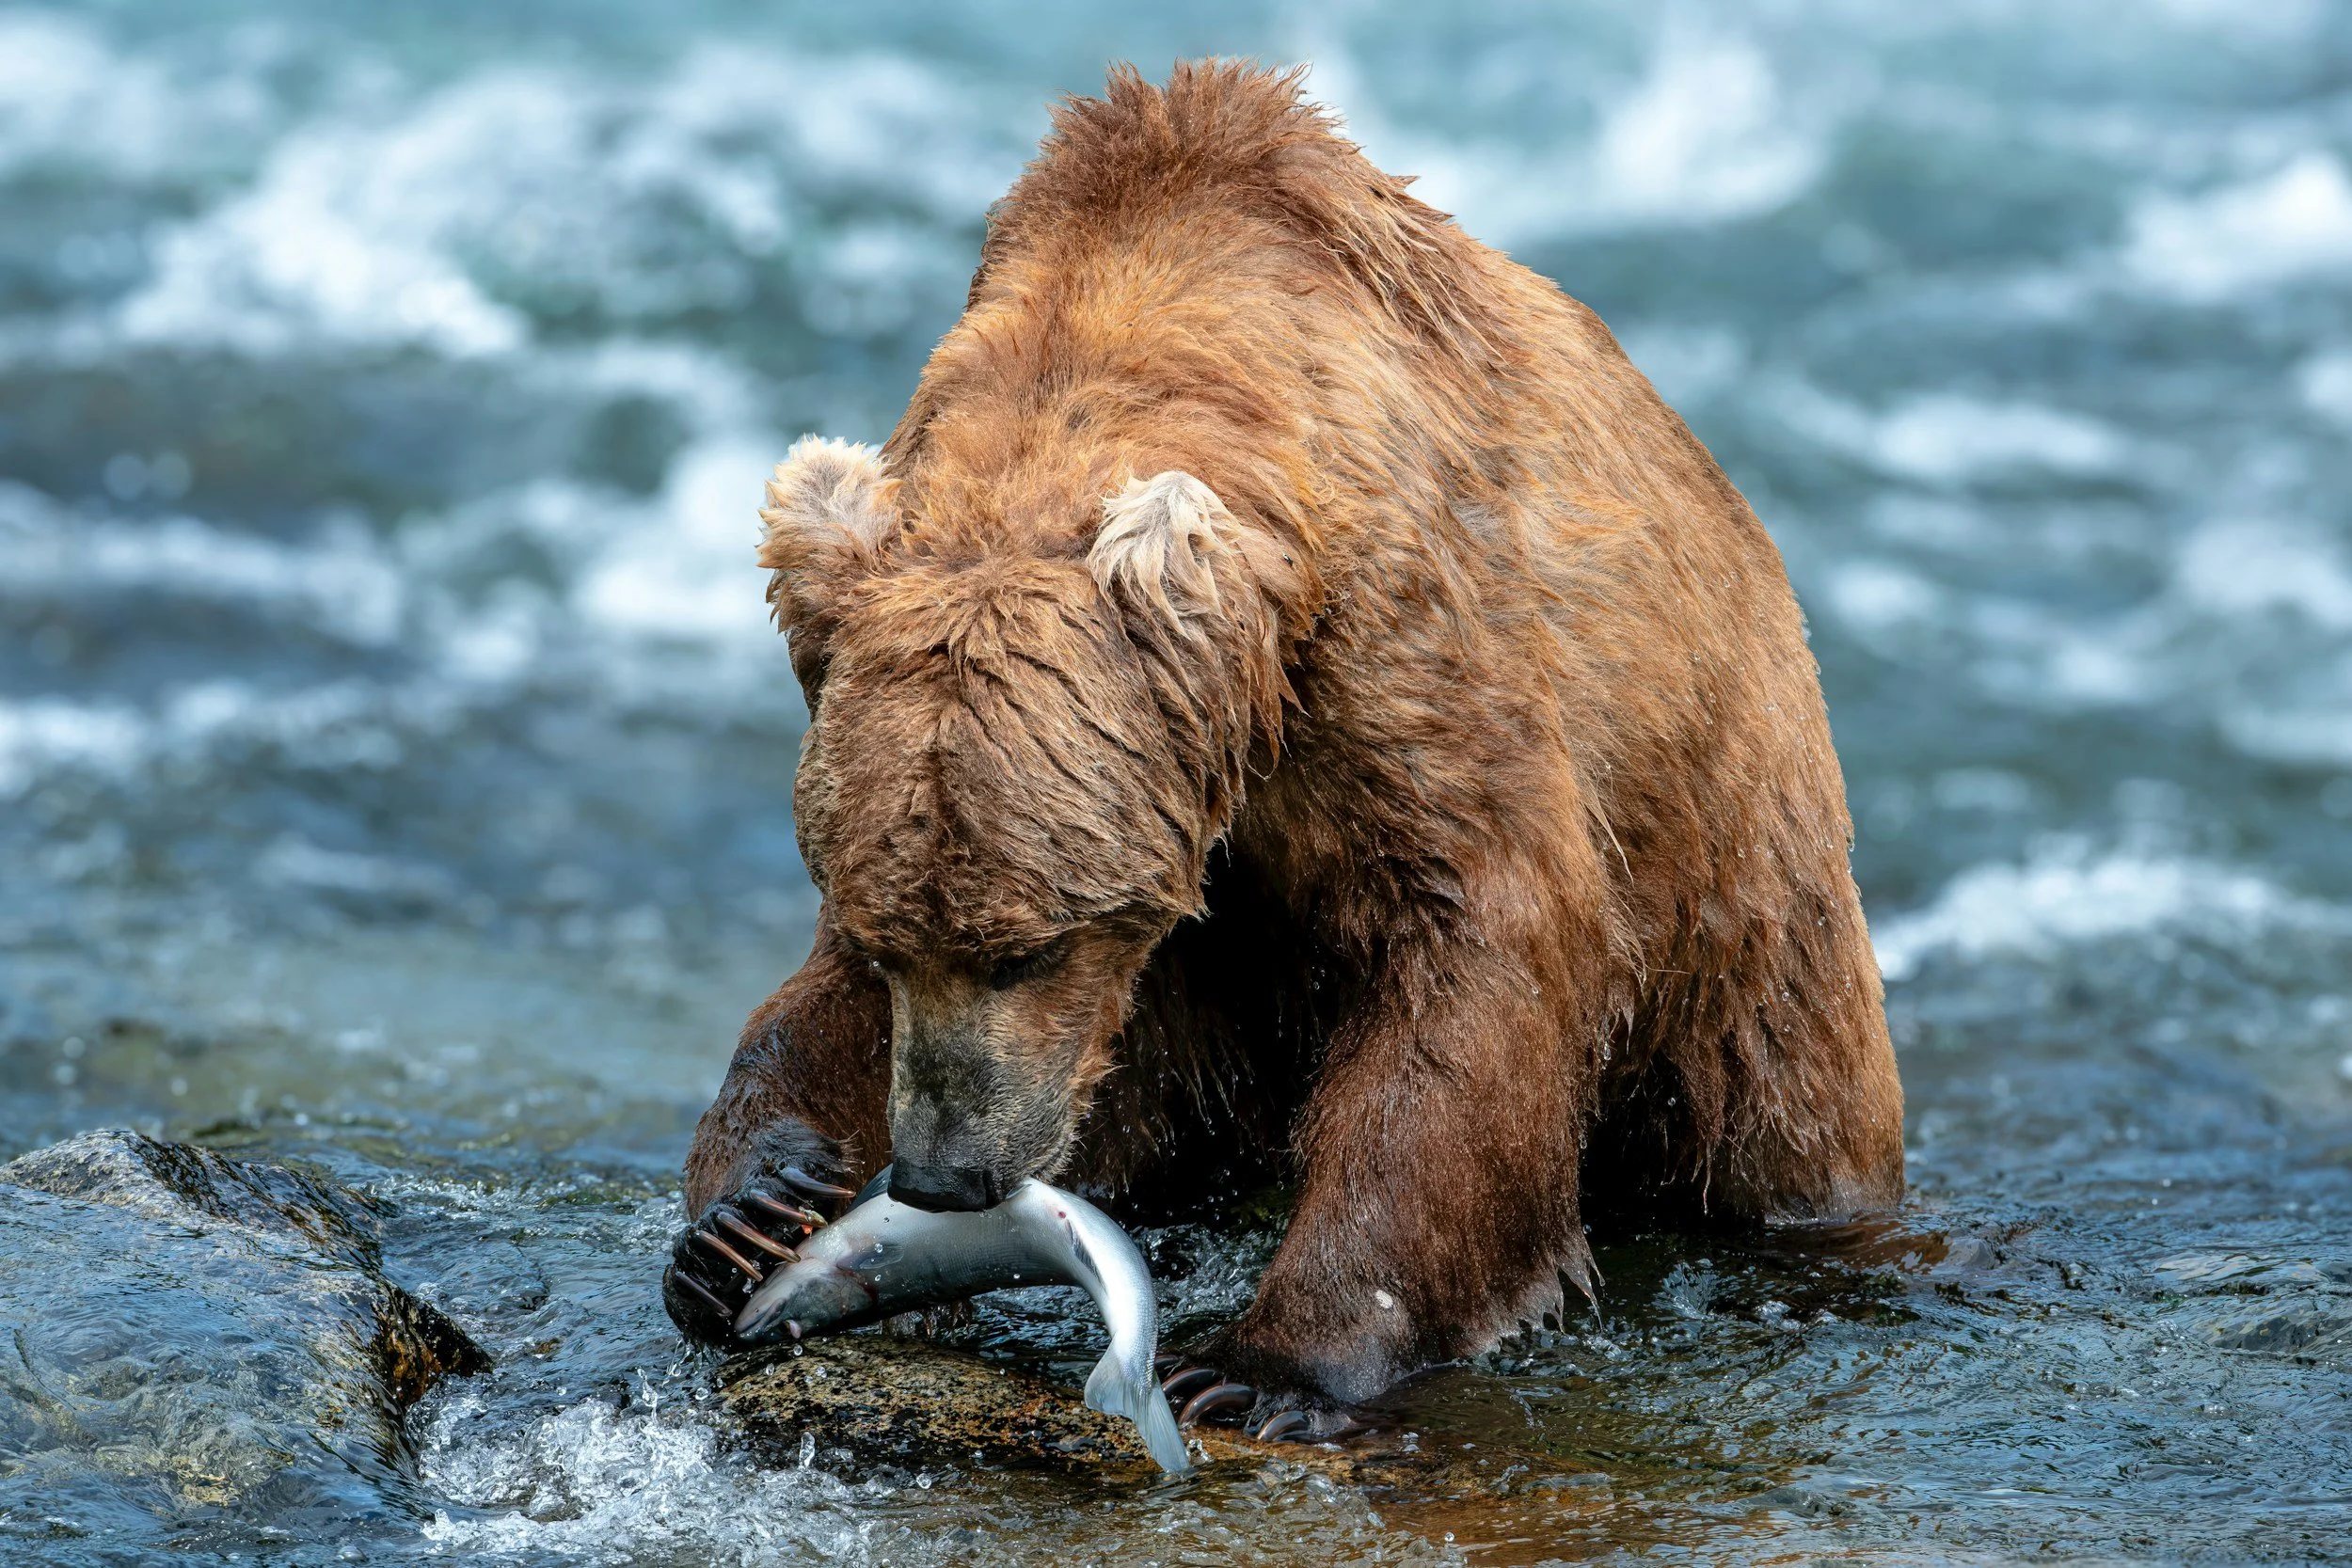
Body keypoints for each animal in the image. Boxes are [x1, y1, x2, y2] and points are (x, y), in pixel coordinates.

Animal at [663, 60, 1904, 1435]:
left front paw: (1261, 1365)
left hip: (1740, 914)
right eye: (896, 945)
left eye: (1029, 946)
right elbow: (810, 1004)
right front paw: (743, 1215)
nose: (943, 1174)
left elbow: (1472, 962)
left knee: (1765, 1117)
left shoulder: (1397, 667)